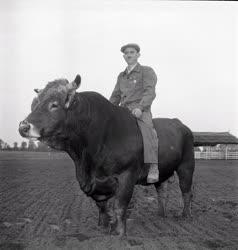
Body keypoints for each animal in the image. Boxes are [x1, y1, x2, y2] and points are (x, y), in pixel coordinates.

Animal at [19, 75, 195, 236]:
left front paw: (119, 233)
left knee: (186, 191)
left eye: (54, 104)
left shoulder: (127, 175)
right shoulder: (96, 182)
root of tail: (180, 123)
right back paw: (160, 215)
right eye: (35, 103)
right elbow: (102, 206)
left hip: (186, 166)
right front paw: (103, 228)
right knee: (162, 191)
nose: (23, 126)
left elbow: (120, 205)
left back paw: (185, 216)